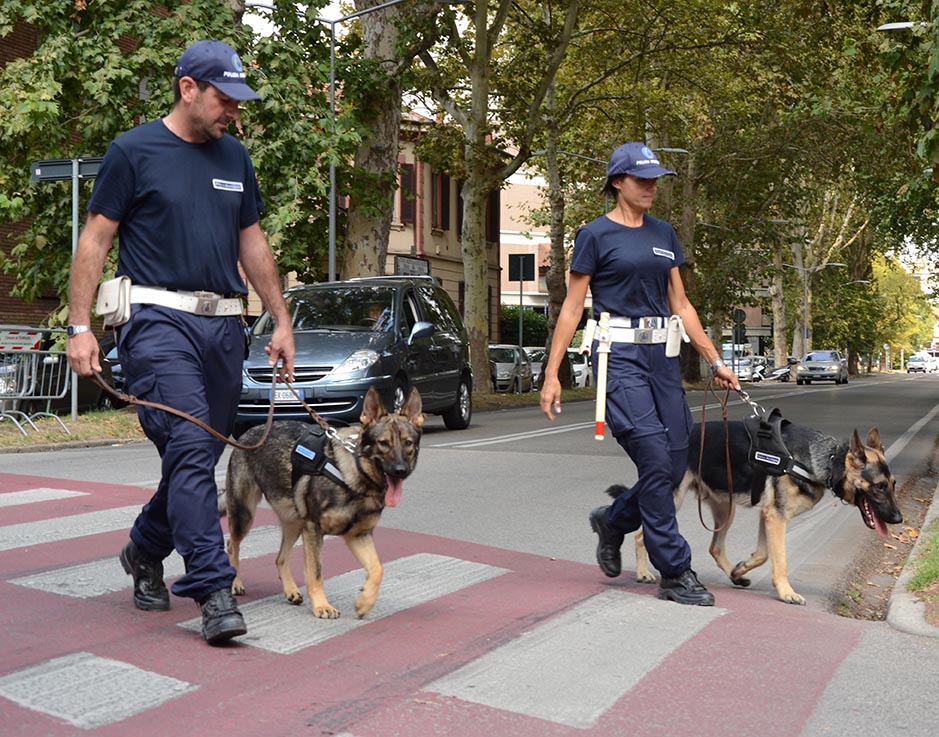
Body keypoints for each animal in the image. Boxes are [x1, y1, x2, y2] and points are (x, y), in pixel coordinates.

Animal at [222, 388, 420, 620]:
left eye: (408, 443)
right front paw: (322, 606)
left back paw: (290, 590)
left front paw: (364, 602)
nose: (400, 470)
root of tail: (247, 434)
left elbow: (377, 569)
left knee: (280, 558)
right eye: (384, 443)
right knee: (231, 545)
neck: (353, 476)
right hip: (245, 516)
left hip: (294, 524)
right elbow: (316, 573)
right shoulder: (314, 530)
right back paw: (235, 582)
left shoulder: (358, 536)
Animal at [628, 420, 900, 604]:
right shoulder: (776, 517)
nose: (898, 518)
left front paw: (740, 569)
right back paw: (643, 573)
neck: (826, 458)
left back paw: (735, 577)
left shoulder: (768, 516)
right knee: (641, 535)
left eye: (893, 484)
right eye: (880, 486)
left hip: (725, 508)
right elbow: (780, 559)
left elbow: (763, 554)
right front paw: (787, 592)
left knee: (715, 548)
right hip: (673, 499)